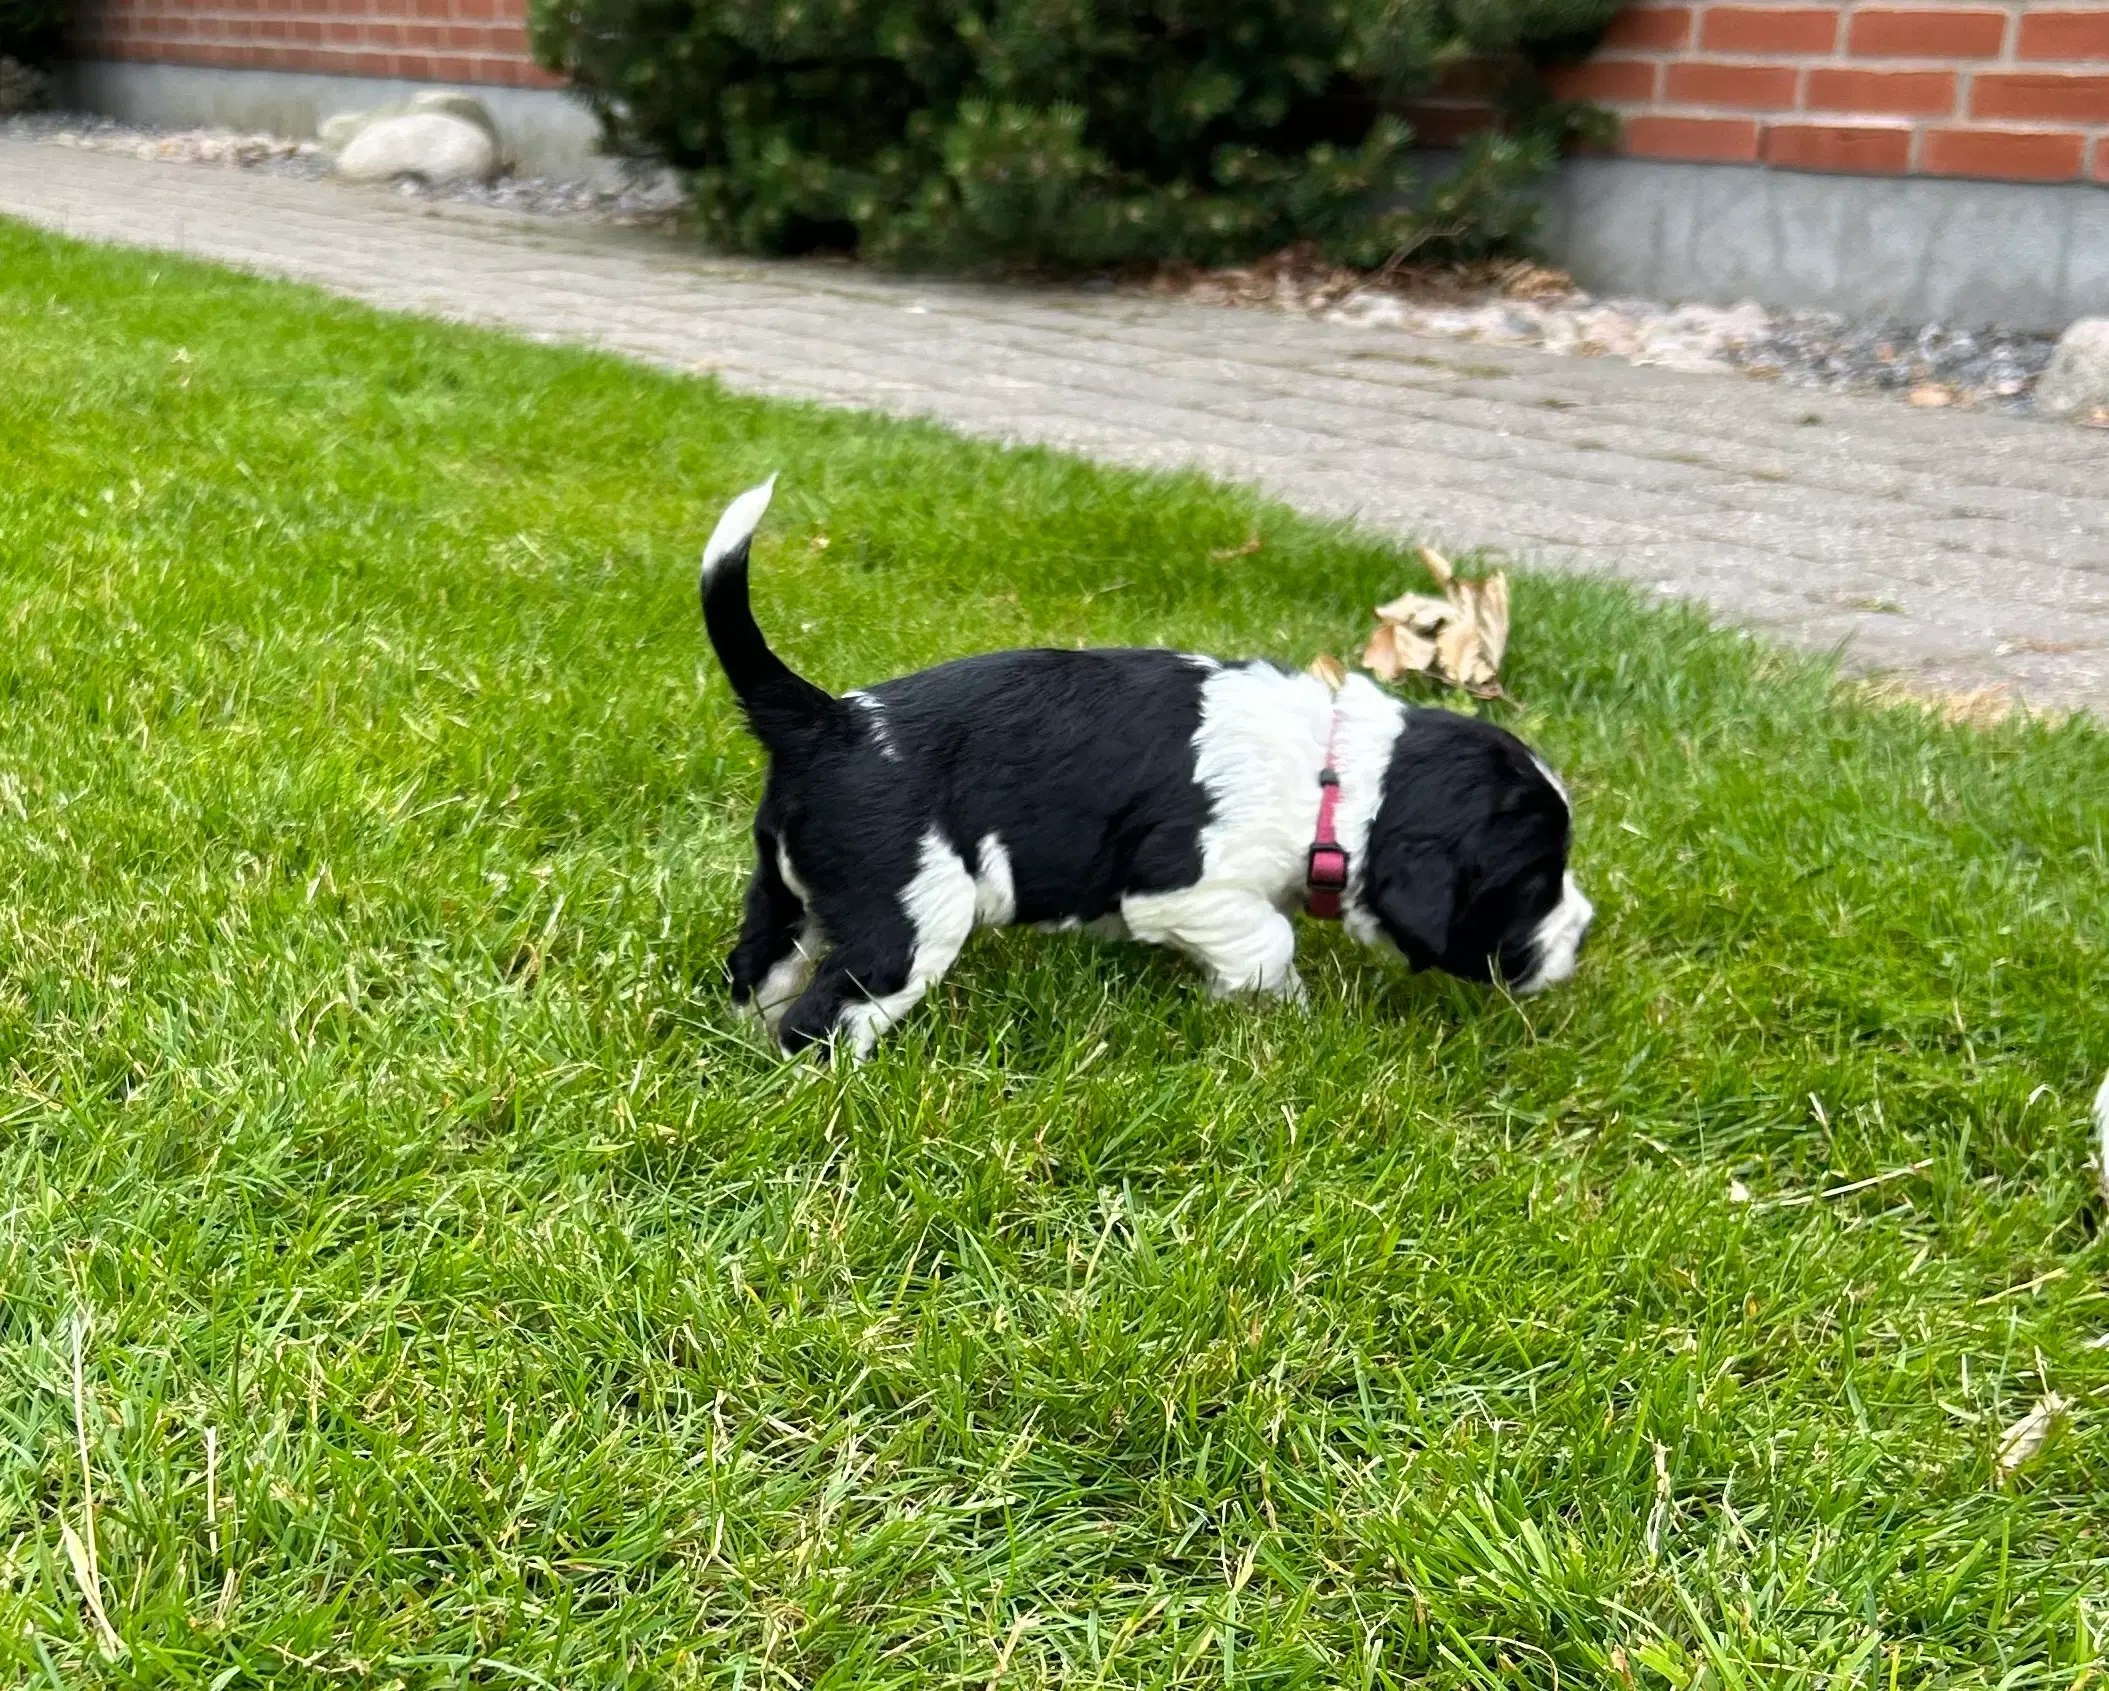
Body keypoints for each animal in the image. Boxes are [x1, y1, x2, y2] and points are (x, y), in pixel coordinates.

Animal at [700, 474, 1585, 1054]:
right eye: (1535, 881)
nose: (1583, 931)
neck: (1335, 780)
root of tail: (831, 721)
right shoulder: (1186, 889)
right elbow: (1267, 939)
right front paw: (1285, 1013)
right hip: (910, 919)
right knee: (823, 1016)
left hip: (783, 892)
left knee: (759, 971)